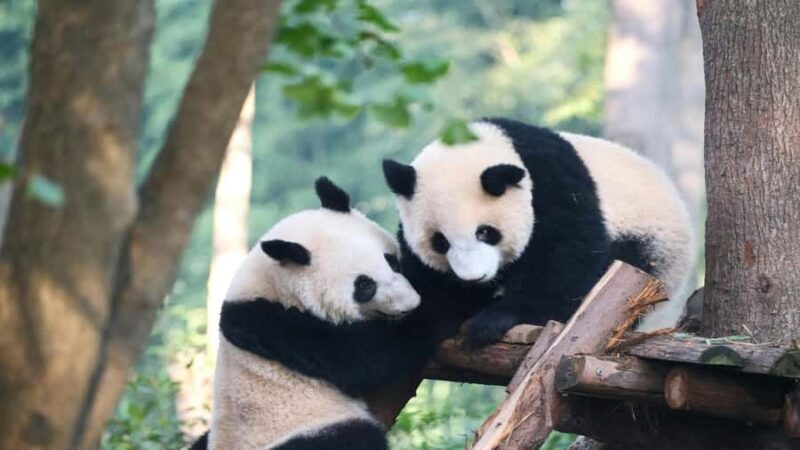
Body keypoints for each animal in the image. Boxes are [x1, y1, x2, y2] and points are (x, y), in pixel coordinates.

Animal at [200, 177, 439, 450]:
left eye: (392, 262)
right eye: (364, 286)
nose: (410, 303)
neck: (272, 283)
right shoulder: (273, 325)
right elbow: (375, 355)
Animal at [382, 118, 695, 348]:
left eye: (485, 232)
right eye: (440, 241)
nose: (474, 278)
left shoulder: (553, 186)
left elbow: (567, 260)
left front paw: (492, 320)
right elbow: (425, 277)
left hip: (649, 243)